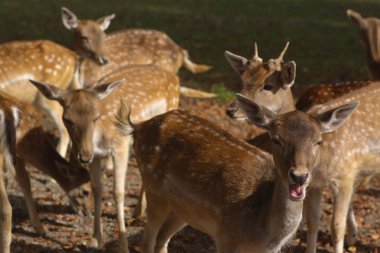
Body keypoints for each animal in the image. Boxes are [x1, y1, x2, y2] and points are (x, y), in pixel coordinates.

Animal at [0, 92, 90, 234]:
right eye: (86, 191)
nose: (88, 212)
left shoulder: (16, 155)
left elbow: (25, 182)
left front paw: (39, 227)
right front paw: (41, 229)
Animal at [224, 42, 380, 252]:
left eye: (268, 86)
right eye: (242, 81)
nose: (232, 109)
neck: (321, 162)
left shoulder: (345, 175)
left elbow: (336, 227)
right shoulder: (315, 184)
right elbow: (312, 222)